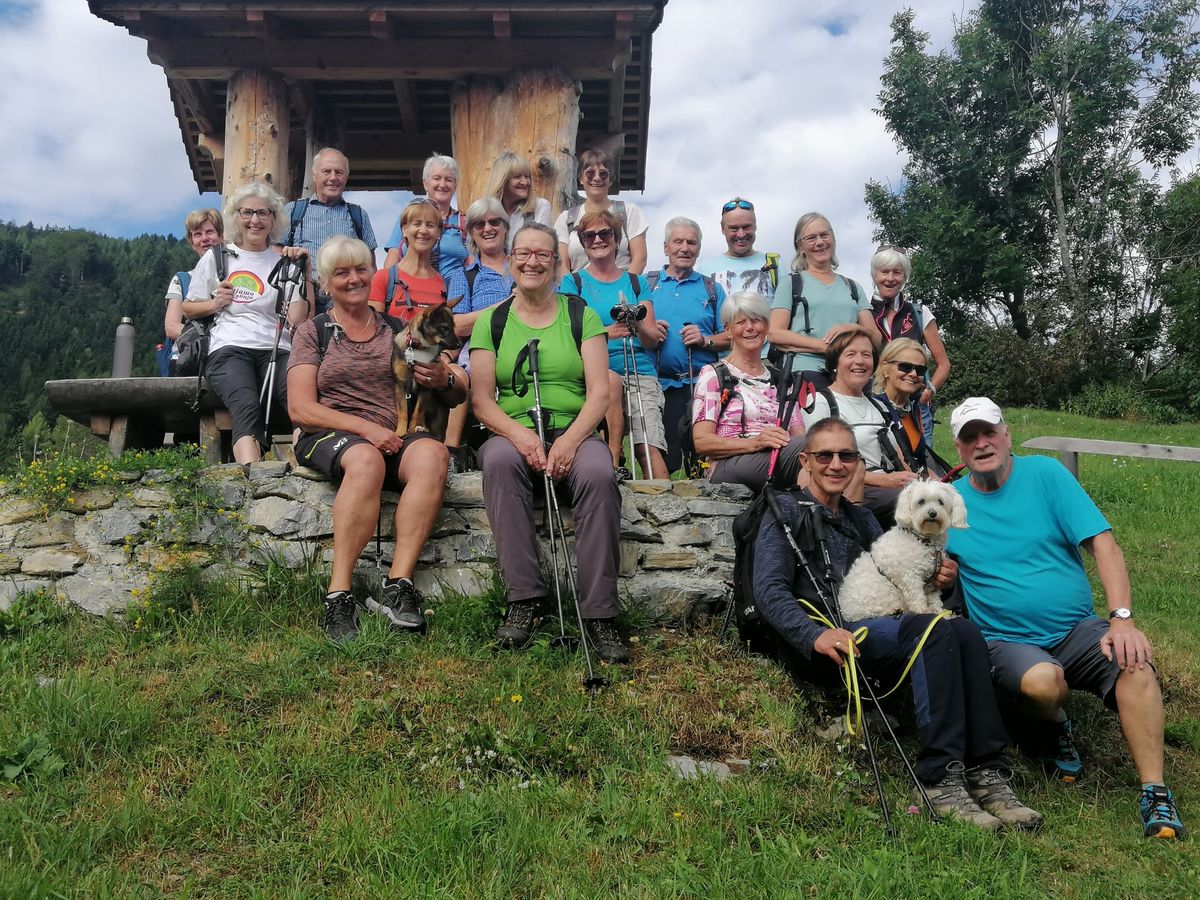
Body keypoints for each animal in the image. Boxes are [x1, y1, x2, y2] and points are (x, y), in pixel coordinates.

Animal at [396, 300, 465, 444]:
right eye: (444, 328)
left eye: (454, 327)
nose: (459, 345)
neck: (418, 349)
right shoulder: (400, 384)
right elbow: (403, 411)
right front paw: (399, 432)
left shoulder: (426, 386)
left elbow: (417, 413)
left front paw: (411, 431)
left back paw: (421, 429)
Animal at [840, 482, 969, 624]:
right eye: (921, 501)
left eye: (940, 502)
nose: (932, 513)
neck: (923, 540)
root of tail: (846, 612)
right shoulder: (910, 575)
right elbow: (916, 595)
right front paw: (923, 610)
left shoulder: (933, 579)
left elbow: (934, 599)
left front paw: (941, 613)